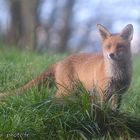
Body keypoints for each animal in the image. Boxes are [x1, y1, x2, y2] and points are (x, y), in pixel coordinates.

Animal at [0, 23, 133, 107]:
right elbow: (104, 110)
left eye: (119, 46)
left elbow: (115, 110)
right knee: (54, 98)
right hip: (67, 90)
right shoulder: (103, 92)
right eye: (108, 46)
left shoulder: (119, 94)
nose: (111, 55)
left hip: (77, 91)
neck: (117, 75)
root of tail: (60, 61)